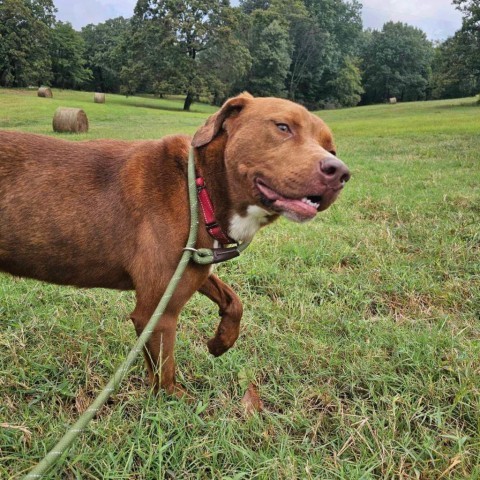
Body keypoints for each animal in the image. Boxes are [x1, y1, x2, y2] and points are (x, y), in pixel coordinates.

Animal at [0, 92, 352, 396]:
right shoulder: (157, 313)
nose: (340, 172)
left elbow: (233, 300)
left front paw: (221, 341)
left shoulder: (193, 265)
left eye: (332, 149)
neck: (198, 189)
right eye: (282, 127)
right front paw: (178, 405)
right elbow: (165, 376)